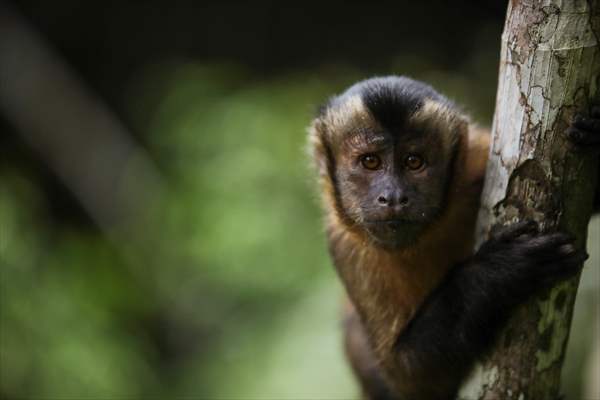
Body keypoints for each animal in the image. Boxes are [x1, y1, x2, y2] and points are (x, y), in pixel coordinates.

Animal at [310, 76, 600, 400]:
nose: (393, 197)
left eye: (414, 162)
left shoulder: (479, 158)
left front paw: (596, 134)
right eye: (370, 162)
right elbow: (410, 376)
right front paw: (502, 270)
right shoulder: (345, 248)